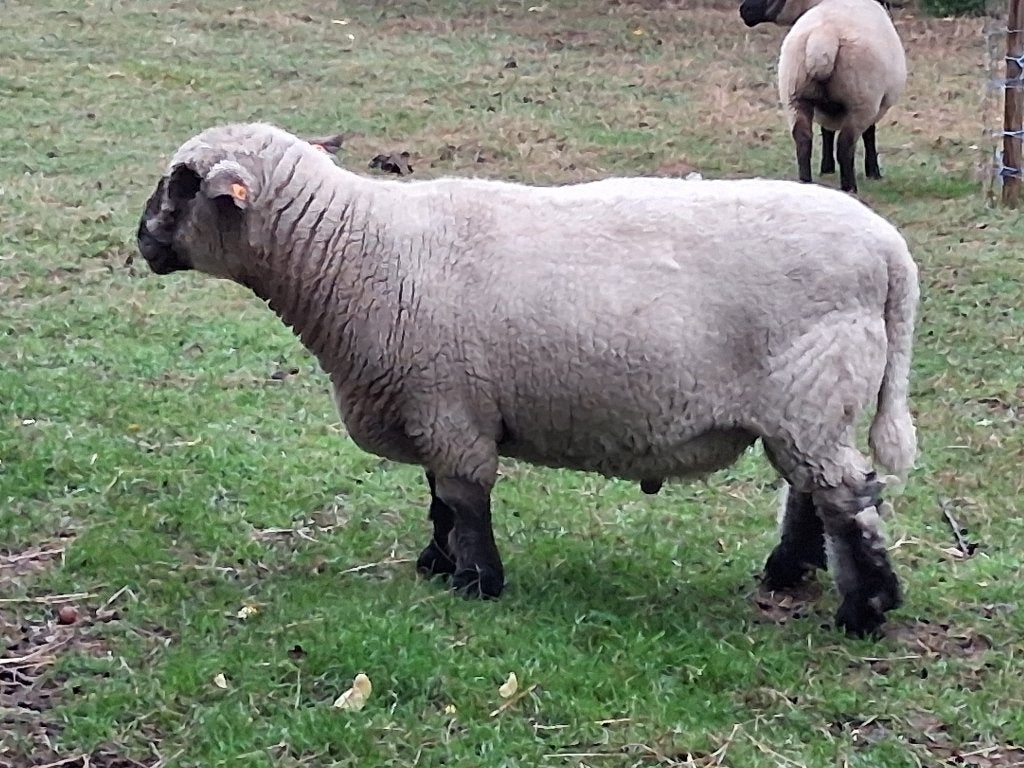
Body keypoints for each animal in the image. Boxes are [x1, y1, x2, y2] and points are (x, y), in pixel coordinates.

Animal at [135, 122, 919, 636]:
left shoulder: (446, 405)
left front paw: (476, 583)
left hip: (809, 390)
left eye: (182, 184)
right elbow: (438, 499)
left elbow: (463, 498)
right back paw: (790, 572)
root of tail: (889, 252)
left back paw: (865, 609)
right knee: (811, 489)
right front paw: (436, 563)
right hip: (806, 405)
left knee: (845, 496)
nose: (141, 240)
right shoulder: (438, 405)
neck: (359, 252)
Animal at [739, 0, 907, 194]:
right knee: (845, 145)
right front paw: (873, 172)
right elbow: (869, 134)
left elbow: (826, 131)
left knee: (803, 140)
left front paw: (826, 167)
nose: (744, 11)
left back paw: (805, 182)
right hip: (861, 100)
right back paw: (849, 188)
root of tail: (823, 41)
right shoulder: (876, 103)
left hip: (794, 95)